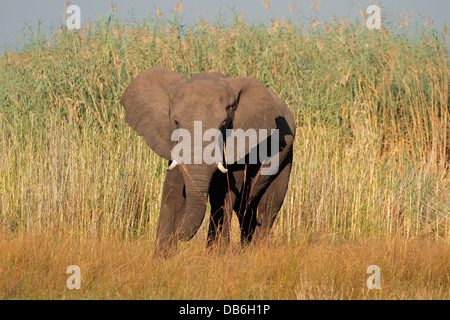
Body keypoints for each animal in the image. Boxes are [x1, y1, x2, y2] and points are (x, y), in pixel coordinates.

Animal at [120, 67, 296, 255]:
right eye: (175, 122)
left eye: (224, 124)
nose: (181, 235)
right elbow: (173, 191)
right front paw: (162, 257)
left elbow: (222, 194)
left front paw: (215, 256)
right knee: (245, 208)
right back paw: (246, 249)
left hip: (285, 156)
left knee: (268, 205)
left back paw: (257, 250)